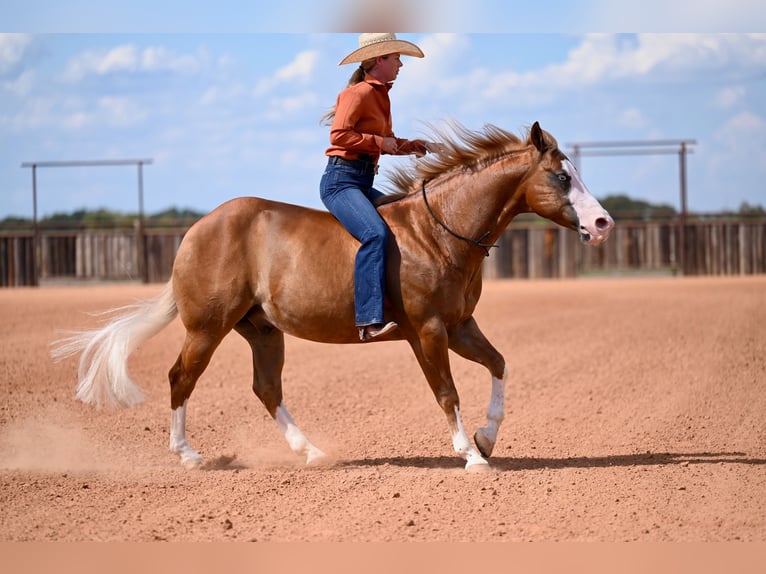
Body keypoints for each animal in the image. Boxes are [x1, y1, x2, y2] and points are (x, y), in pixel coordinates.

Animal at [52, 121, 614, 472]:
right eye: (562, 175)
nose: (602, 223)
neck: (437, 232)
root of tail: (198, 229)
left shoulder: (459, 326)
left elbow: (499, 364)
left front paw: (486, 438)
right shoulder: (428, 331)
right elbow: (447, 392)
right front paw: (472, 456)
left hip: (262, 330)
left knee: (266, 388)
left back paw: (313, 453)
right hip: (207, 327)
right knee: (180, 378)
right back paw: (188, 455)